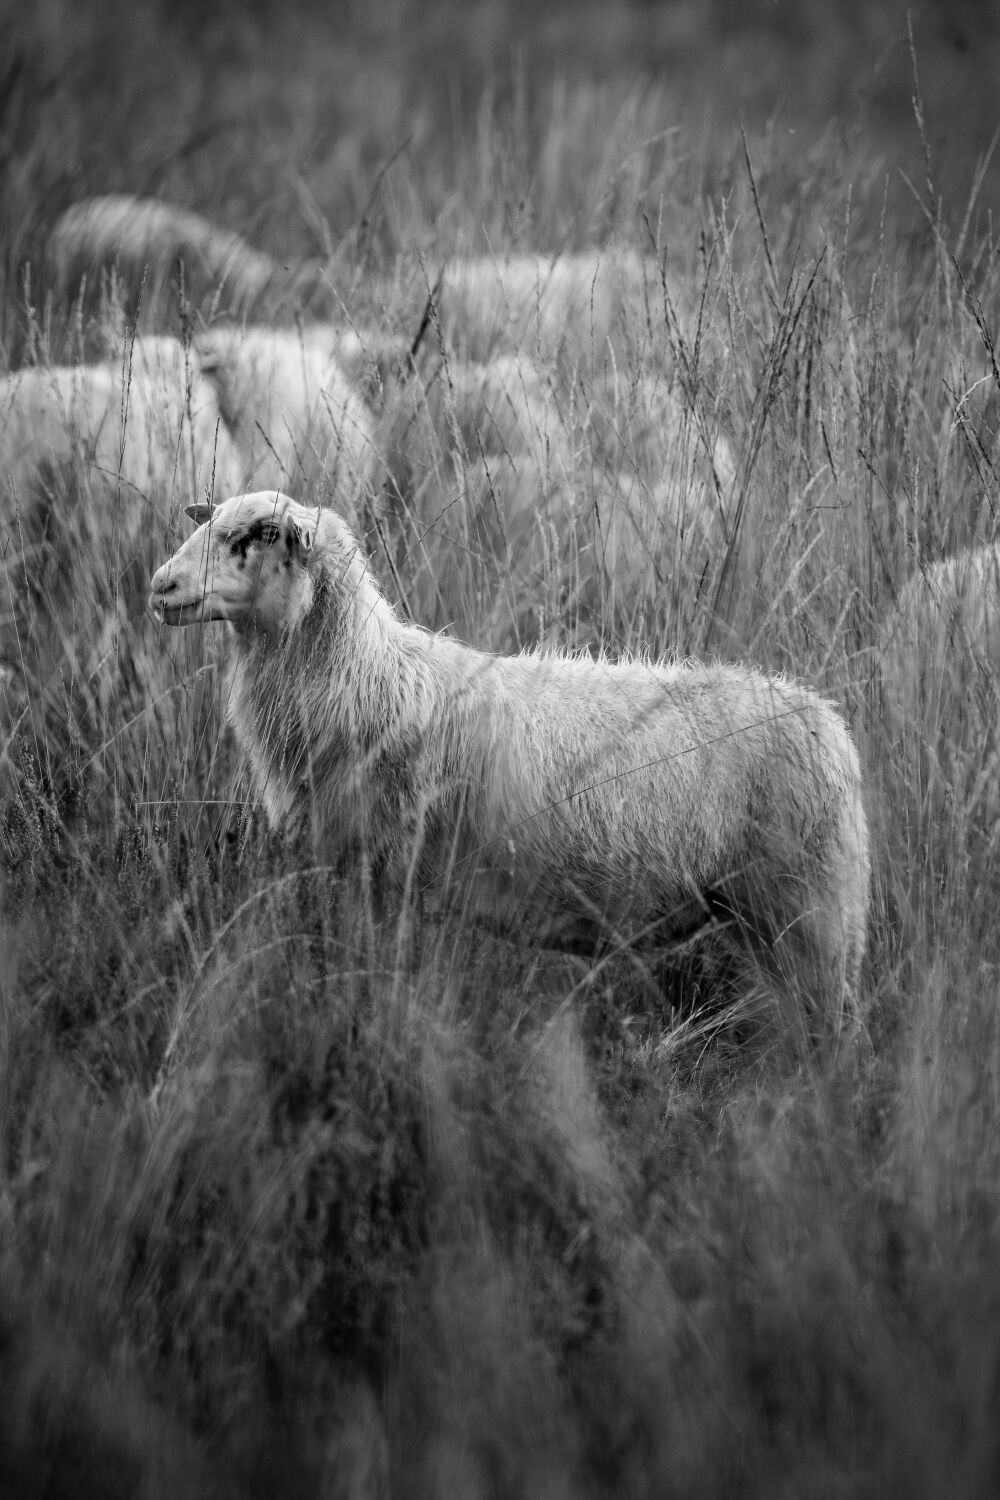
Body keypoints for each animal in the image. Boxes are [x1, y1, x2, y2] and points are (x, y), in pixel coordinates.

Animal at [150, 492, 875, 1032]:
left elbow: (380, 978)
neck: (368, 676)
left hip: (810, 910)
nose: (160, 586)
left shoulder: (391, 870)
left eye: (263, 534)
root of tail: (828, 722)